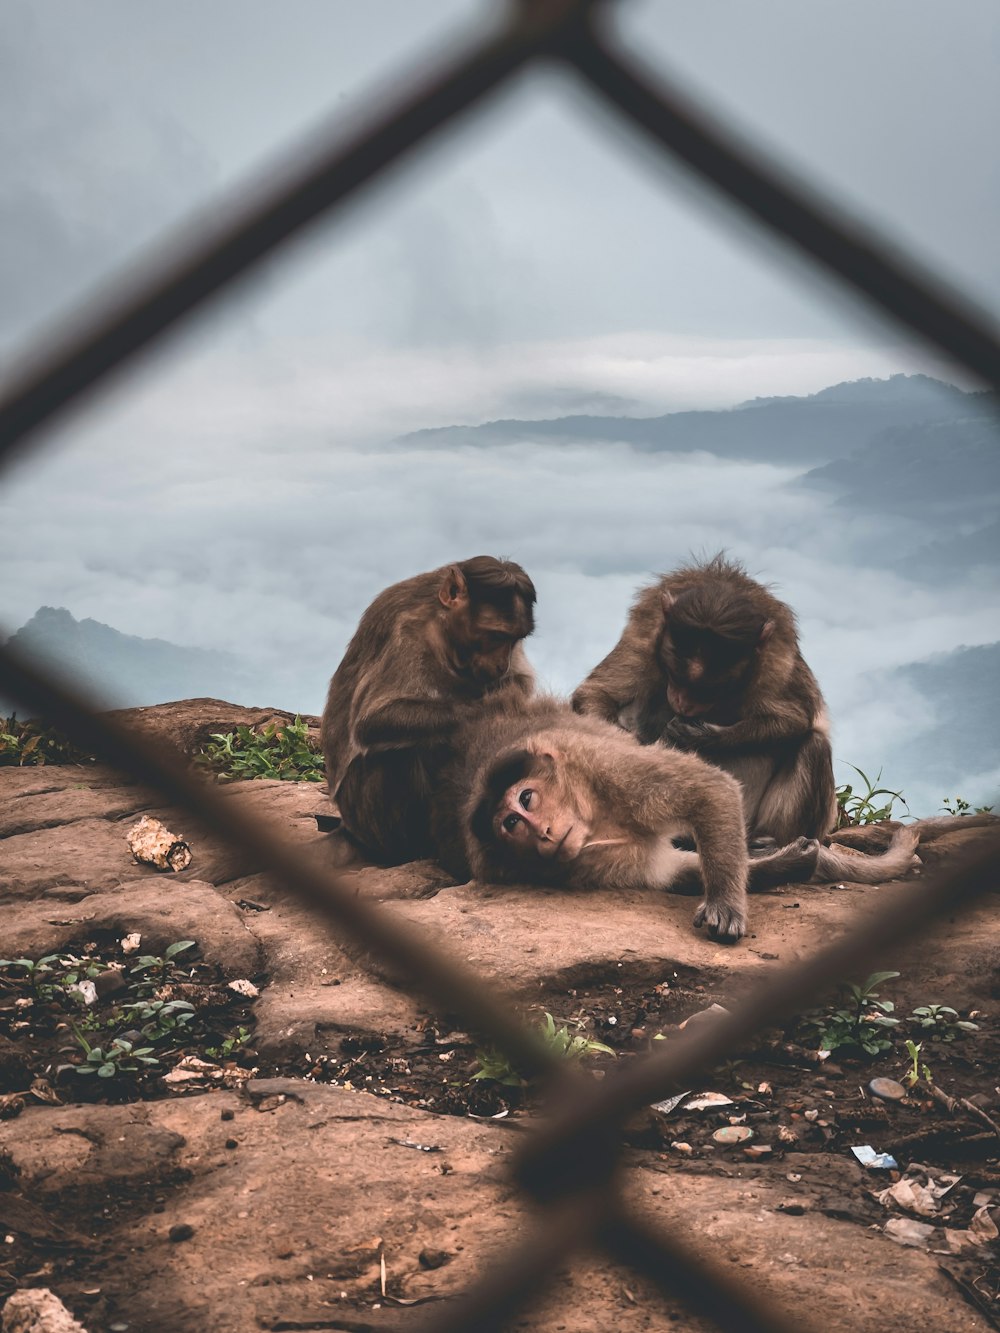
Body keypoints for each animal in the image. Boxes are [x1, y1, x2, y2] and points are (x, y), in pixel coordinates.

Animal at [325, 554, 536, 858]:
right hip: (363, 817)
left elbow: (521, 680)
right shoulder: (408, 632)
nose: (501, 664)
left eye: (515, 639)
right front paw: (494, 709)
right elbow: (373, 721)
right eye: (497, 636)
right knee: (398, 752)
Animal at [570, 551, 837, 842]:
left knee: (813, 745)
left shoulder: (777, 653)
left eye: (711, 690)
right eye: (675, 675)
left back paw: (772, 839)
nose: (684, 703)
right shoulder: (646, 628)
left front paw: (704, 736)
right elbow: (598, 693)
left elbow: (795, 717)